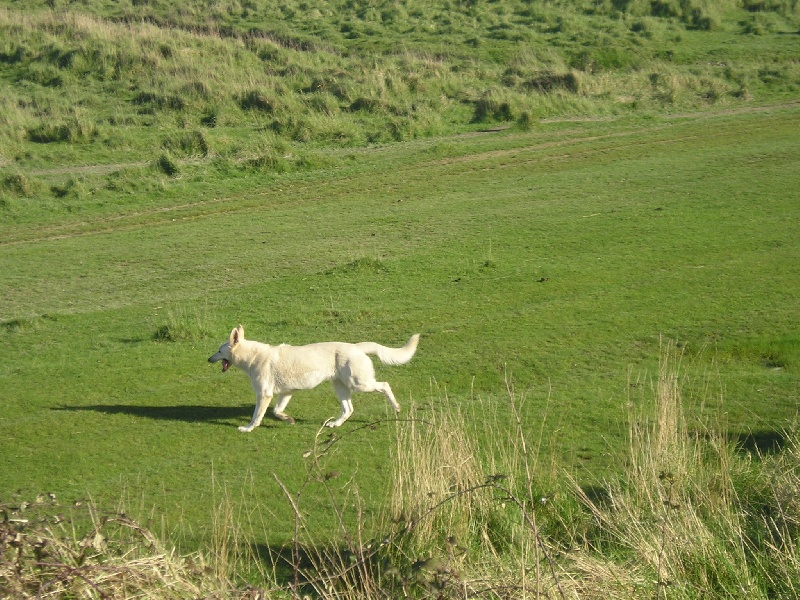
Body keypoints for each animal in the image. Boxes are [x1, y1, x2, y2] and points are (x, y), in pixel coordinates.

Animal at [208, 328, 418, 432]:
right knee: (348, 409)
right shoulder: (286, 393)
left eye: (219, 350)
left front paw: (248, 428)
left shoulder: (264, 394)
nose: (209, 359)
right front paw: (288, 419)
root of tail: (356, 346)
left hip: (360, 384)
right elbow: (277, 411)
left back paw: (396, 407)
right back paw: (335, 424)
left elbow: (256, 416)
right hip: (340, 387)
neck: (253, 357)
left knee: (385, 385)